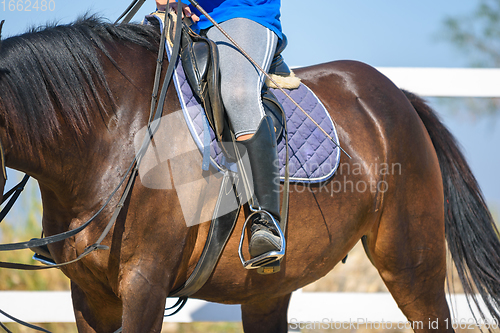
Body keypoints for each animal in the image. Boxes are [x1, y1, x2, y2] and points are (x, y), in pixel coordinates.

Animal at [0, 18, 500, 332]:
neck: (114, 130)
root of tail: (396, 95)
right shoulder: (89, 296)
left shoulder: (144, 284)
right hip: (269, 289)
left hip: (412, 266)